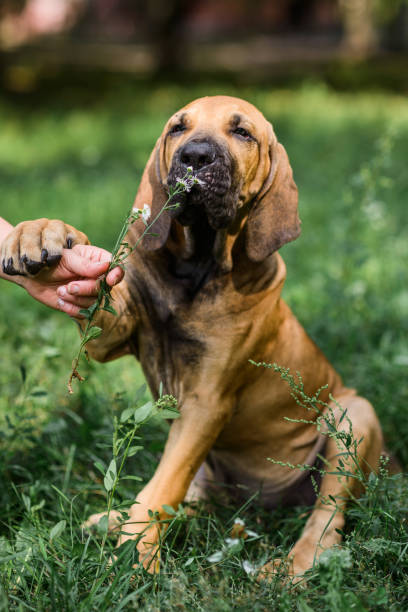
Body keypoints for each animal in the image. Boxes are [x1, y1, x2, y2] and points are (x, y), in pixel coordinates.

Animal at [0, 95, 384, 580]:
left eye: (242, 133)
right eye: (177, 129)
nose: (196, 157)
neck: (196, 265)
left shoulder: (206, 400)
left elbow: (162, 487)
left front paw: (135, 560)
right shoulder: (115, 331)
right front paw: (40, 232)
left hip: (354, 415)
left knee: (327, 513)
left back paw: (294, 565)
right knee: (193, 498)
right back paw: (110, 519)